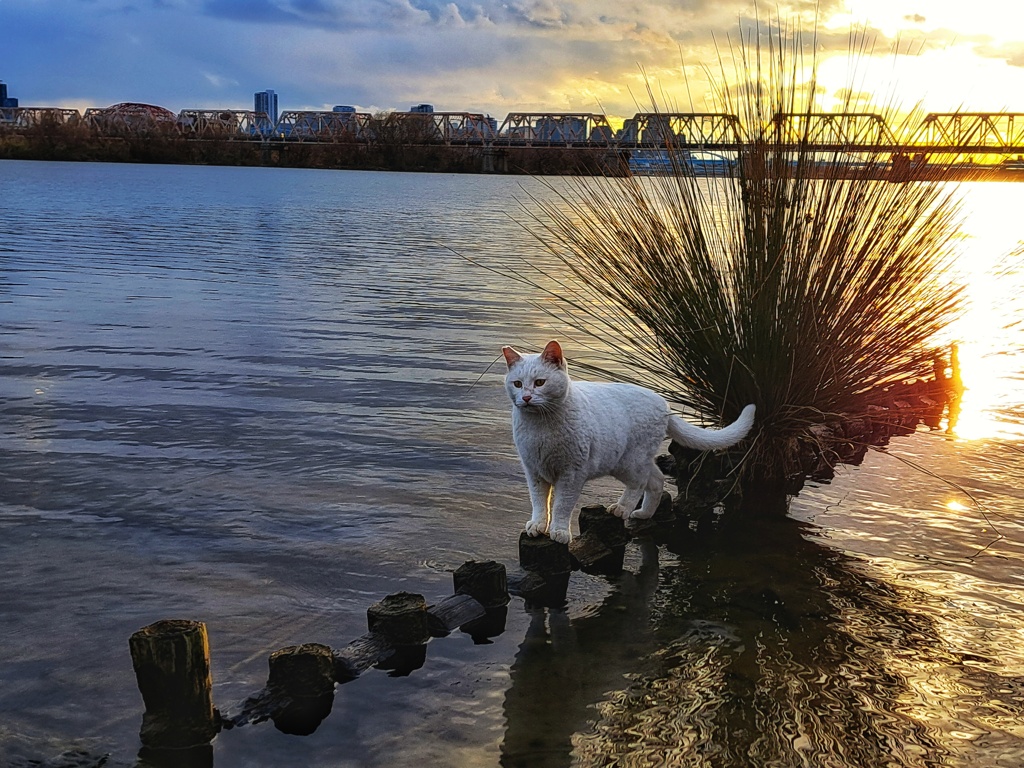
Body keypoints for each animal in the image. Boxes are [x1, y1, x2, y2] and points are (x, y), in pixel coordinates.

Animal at [499, 339, 757, 544]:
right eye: (518, 384)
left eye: (540, 383)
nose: (526, 397)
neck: (540, 426)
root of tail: (664, 405)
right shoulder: (534, 471)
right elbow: (539, 502)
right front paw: (538, 525)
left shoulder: (572, 473)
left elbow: (562, 504)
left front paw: (559, 531)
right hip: (634, 461)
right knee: (657, 479)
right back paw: (643, 514)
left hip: (628, 462)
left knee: (641, 483)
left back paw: (622, 509)